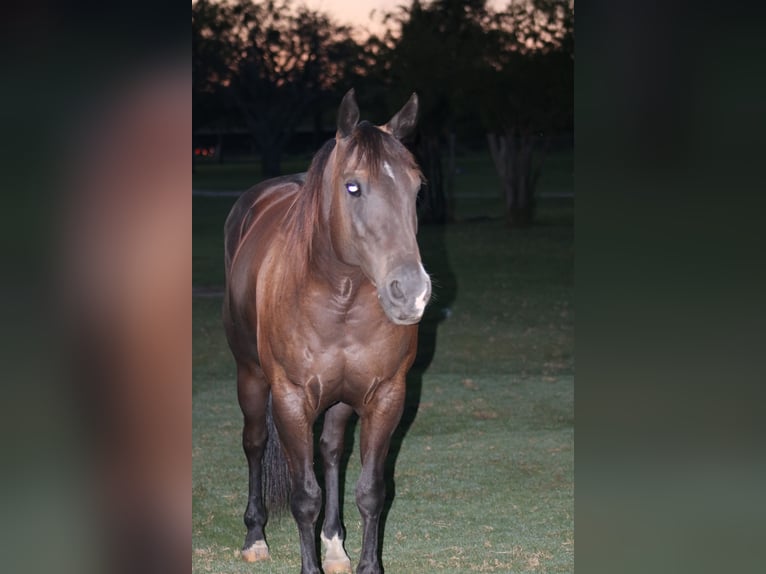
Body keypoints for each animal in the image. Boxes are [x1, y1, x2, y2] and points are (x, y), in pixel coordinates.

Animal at [222, 89, 431, 574]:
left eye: (417, 188)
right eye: (353, 186)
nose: (411, 292)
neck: (342, 301)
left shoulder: (385, 397)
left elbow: (371, 492)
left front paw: (365, 564)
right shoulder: (291, 400)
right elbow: (304, 498)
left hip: (338, 400)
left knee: (333, 451)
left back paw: (335, 544)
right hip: (251, 377)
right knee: (255, 443)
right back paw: (255, 536)